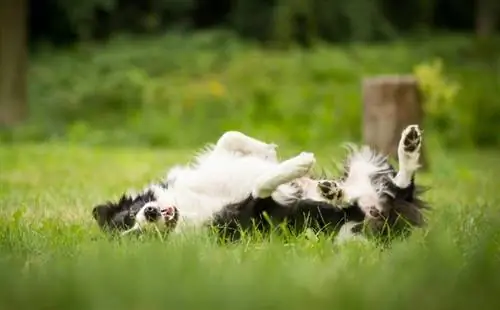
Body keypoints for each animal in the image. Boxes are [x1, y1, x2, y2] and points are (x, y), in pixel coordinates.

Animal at [92, 124, 428, 241]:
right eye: (135, 234)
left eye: (129, 218)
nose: (148, 214)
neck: (188, 208)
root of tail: (384, 211)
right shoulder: (256, 212)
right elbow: (263, 185)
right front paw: (297, 164)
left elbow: (229, 137)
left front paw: (270, 151)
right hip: (351, 232)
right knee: (382, 197)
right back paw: (335, 193)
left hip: (363, 166)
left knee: (399, 183)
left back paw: (408, 146)